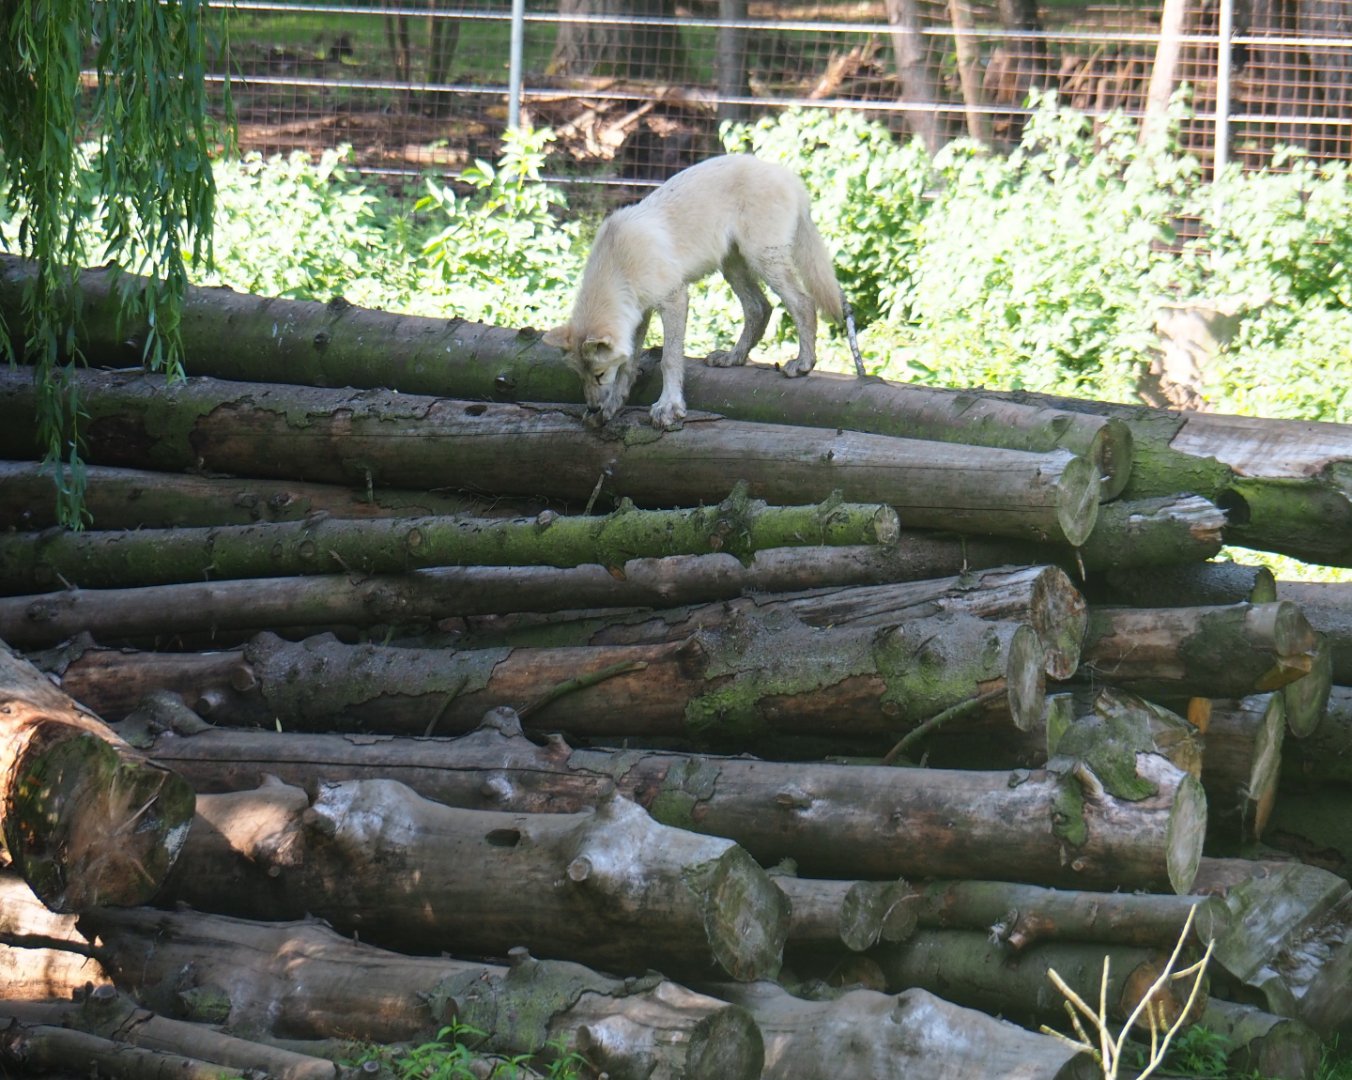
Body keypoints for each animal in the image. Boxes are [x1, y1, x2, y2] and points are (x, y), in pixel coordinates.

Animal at [543, 154, 860, 431]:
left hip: (763, 261)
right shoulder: (639, 314)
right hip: (733, 266)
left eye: (599, 374)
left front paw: (668, 407)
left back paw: (803, 363)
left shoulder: (674, 299)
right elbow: (628, 365)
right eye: (581, 376)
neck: (618, 265)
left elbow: (670, 359)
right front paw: (611, 408)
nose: (593, 406)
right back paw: (733, 358)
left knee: (803, 303)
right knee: (760, 308)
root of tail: (788, 176)